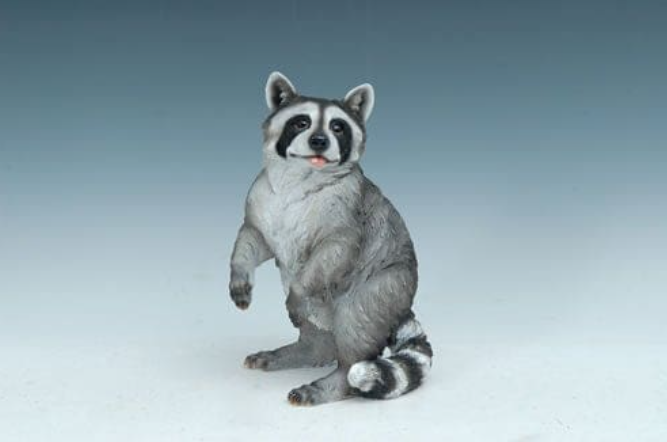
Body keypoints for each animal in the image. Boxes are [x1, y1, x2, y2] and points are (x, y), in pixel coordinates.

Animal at [229, 72, 433, 406]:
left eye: (338, 127)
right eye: (301, 123)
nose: (319, 141)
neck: (300, 176)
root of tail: (402, 306)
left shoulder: (348, 207)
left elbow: (336, 249)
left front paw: (298, 291)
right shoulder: (261, 196)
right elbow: (254, 238)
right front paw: (239, 273)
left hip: (387, 286)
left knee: (355, 318)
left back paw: (339, 379)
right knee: (317, 328)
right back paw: (307, 348)